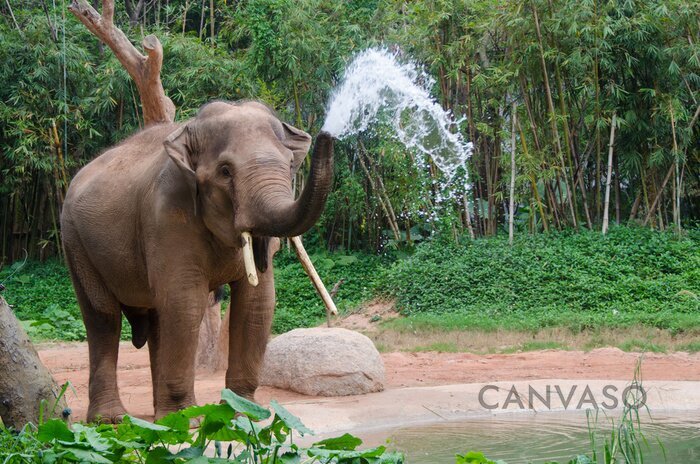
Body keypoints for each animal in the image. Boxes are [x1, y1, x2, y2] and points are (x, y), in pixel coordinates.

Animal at [60, 99, 334, 422]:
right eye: (225, 171)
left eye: (290, 165)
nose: (328, 135)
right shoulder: (167, 216)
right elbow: (185, 302)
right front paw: (185, 418)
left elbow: (257, 303)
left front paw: (243, 413)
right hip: (75, 241)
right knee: (103, 317)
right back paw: (113, 419)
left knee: (157, 320)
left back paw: (158, 416)